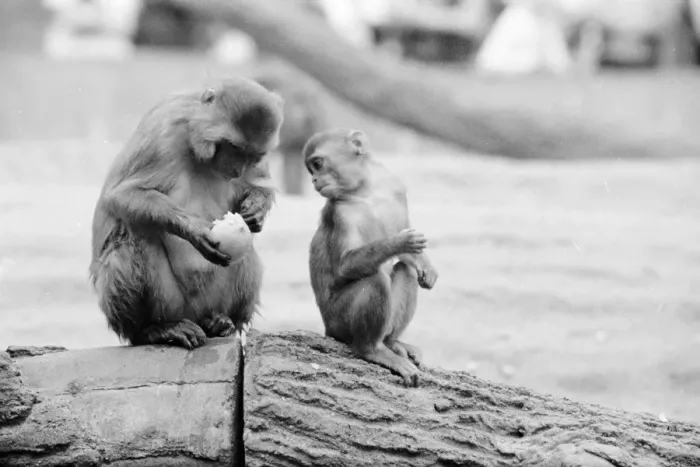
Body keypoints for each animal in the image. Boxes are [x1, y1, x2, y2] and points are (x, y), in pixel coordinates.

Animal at [88, 77, 284, 350]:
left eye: (252, 155)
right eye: (233, 148)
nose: (237, 169)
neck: (196, 144)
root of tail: (196, 316)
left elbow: (259, 183)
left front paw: (256, 208)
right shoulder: (163, 131)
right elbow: (121, 194)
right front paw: (195, 230)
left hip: (212, 300)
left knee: (246, 252)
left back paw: (223, 322)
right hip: (172, 303)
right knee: (135, 233)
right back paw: (154, 329)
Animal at [304, 128, 438, 386]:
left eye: (317, 164)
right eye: (312, 169)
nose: (314, 181)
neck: (366, 190)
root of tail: (327, 329)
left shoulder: (395, 187)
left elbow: (408, 255)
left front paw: (425, 264)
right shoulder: (341, 211)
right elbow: (346, 266)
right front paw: (400, 242)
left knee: (405, 270)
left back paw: (391, 342)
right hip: (339, 321)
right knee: (374, 279)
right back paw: (372, 349)